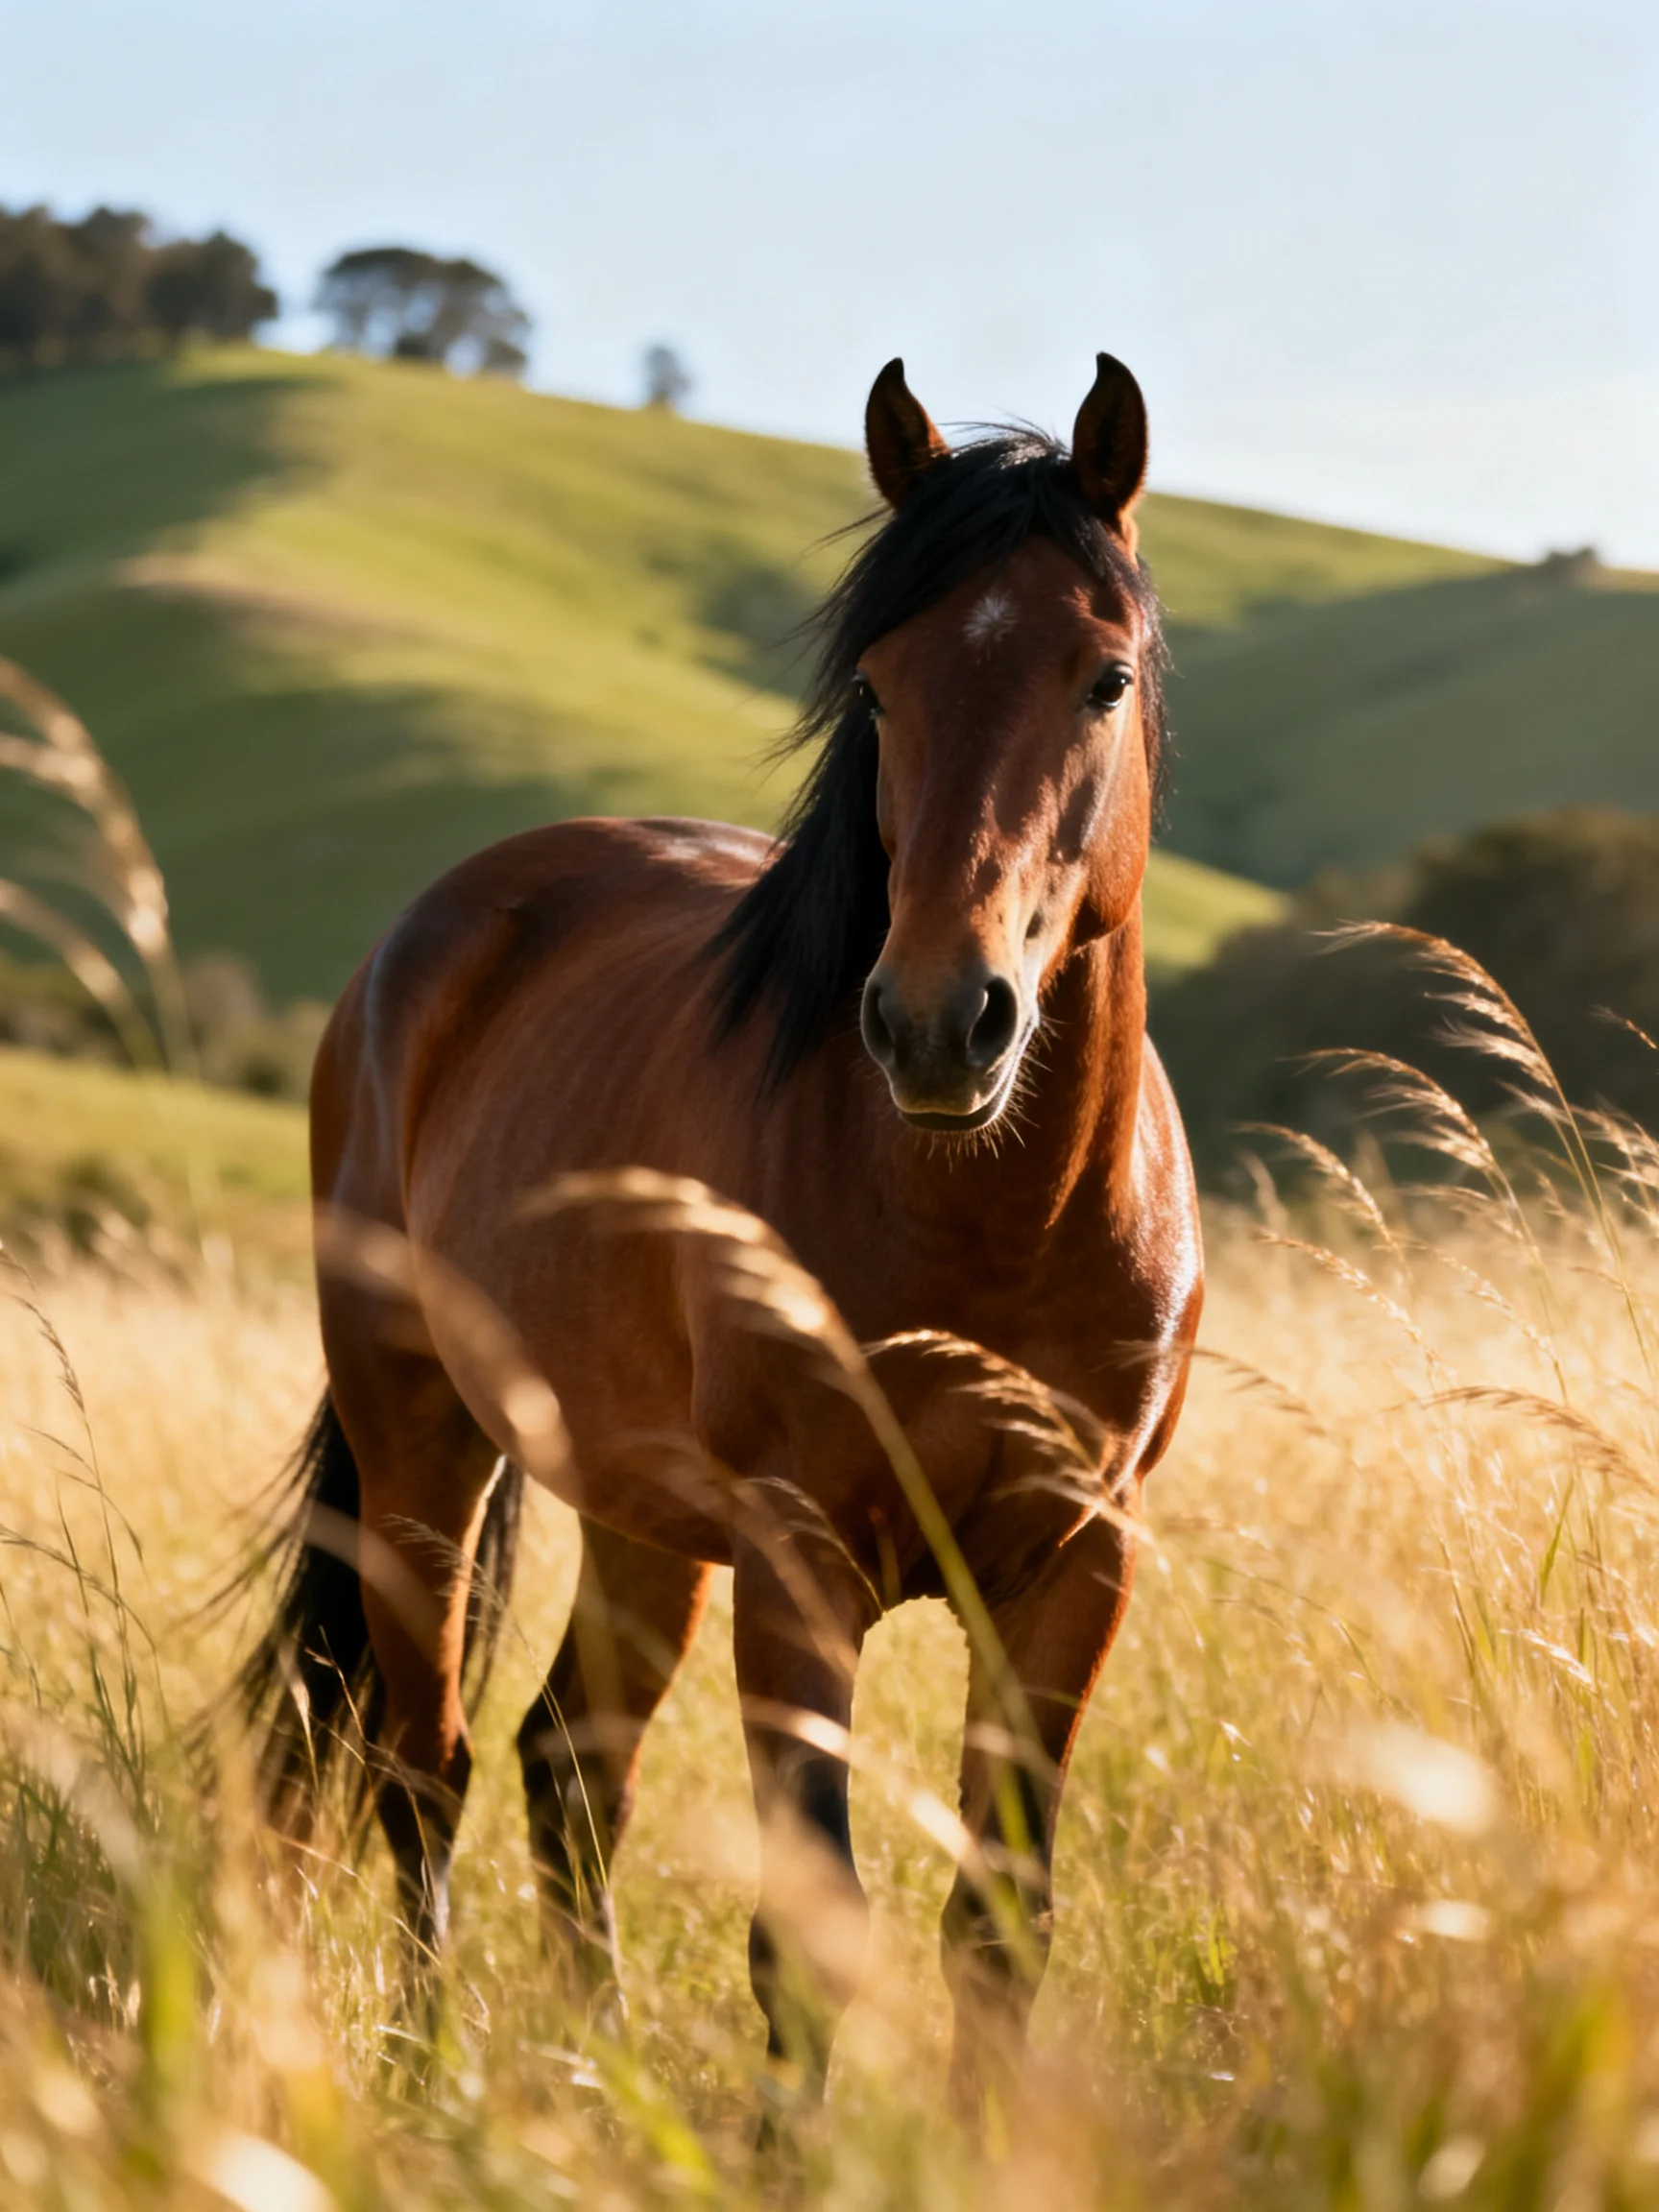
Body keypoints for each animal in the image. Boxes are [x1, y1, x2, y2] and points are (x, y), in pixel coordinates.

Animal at [235, 352, 1204, 2119]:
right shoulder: (800, 1556)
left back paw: (597, 2081)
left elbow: (997, 1922)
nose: (939, 1023)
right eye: (879, 686)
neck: (990, 1216)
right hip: (422, 1445)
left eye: (1100, 677)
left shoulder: (1073, 1564)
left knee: (567, 1766)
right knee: (429, 1764)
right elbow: (804, 1937)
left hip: (643, 1515)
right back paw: (429, 2078)